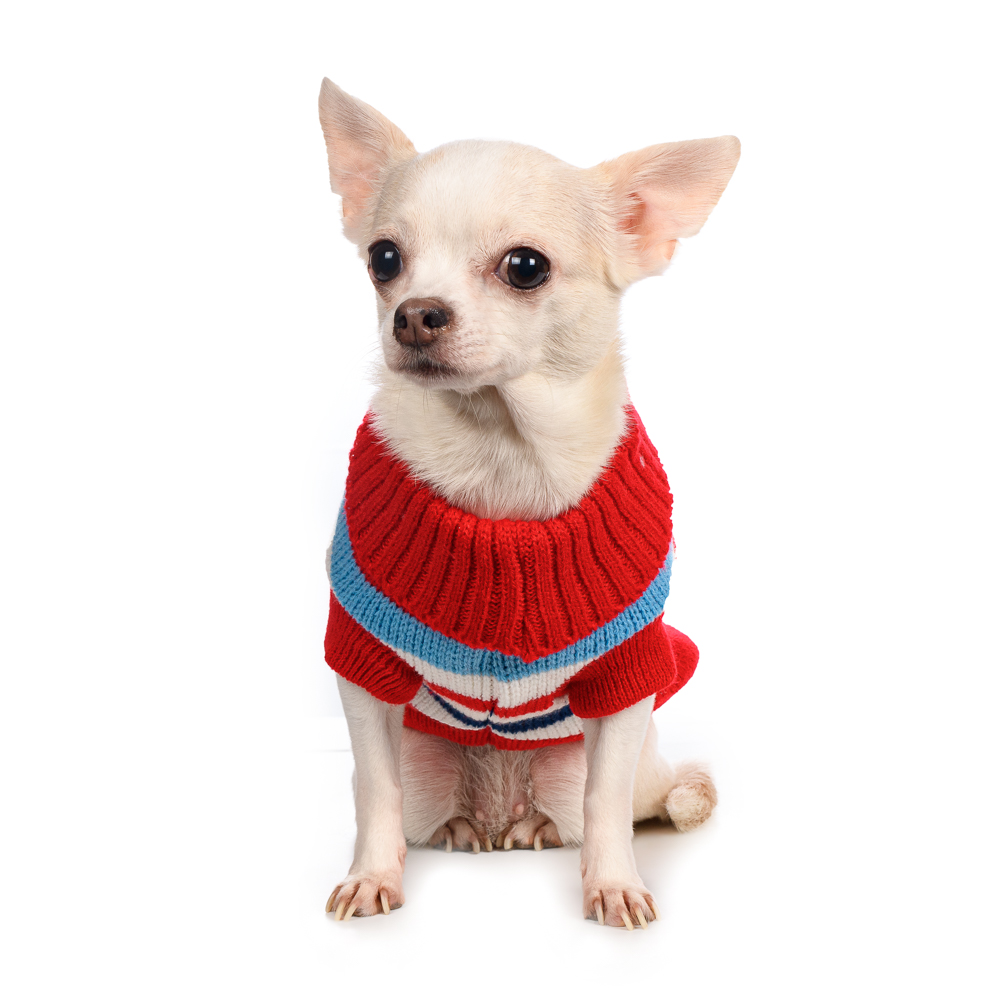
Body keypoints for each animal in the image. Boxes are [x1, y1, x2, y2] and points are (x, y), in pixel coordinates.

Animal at [318, 79, 739, 928]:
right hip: (429, 771)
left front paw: (613, 885)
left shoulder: (625, 678)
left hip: (594, 766)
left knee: (635, 799)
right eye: (384, 258)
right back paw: (463, 829)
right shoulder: (364, 664)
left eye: (525, 267)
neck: (501, 453)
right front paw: (372, 876)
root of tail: (500, 810)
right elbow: (373, 789)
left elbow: (608, 802)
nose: (414, 313)